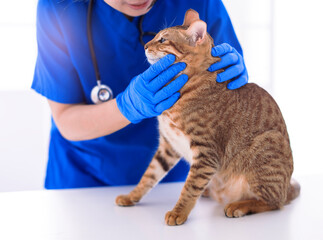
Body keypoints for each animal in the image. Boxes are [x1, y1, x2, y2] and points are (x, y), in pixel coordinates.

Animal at [116, 7, 302, 225]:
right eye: (155, 37)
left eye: (162, 39)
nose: (145, 45)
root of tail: (287, 186)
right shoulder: (168, 145)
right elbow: (148, 176)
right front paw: (131, 196)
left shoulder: (206, 153)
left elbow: (189, 187)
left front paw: (178, 212)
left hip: (267, 148)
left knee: (274, 202)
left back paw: (239, 205)